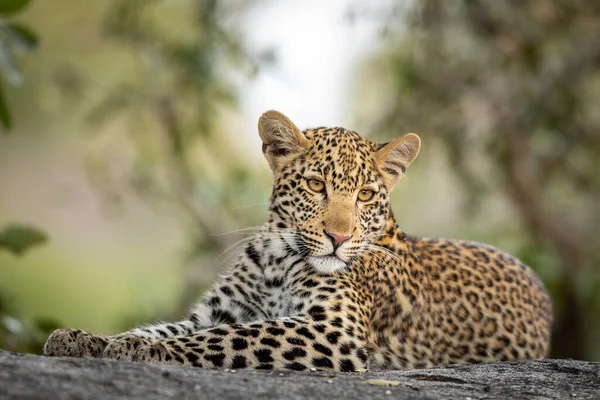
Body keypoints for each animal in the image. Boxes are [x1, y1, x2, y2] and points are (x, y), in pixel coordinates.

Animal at [44, 110, 552, 372]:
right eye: (315, 186)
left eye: (365, 195)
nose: (338, 237)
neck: (278, 258)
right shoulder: (215, 312)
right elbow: (171, 328)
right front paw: (83, 339)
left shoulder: (333, 330)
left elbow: (226, 339)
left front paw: (143, 353)